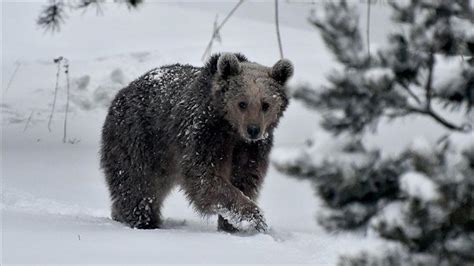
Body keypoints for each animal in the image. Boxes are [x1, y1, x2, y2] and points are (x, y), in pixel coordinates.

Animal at [100, 53, 292, 232]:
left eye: (265, 104)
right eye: (242, 103)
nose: (253, 129)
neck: (231, 130)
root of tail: (122, 92)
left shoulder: (251, 150)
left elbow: (245, 179)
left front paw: (232, 225)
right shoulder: (205, 135)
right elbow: (205, 178)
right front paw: (254, 218)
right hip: (139, 141)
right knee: (137, 186)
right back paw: (142, 221)